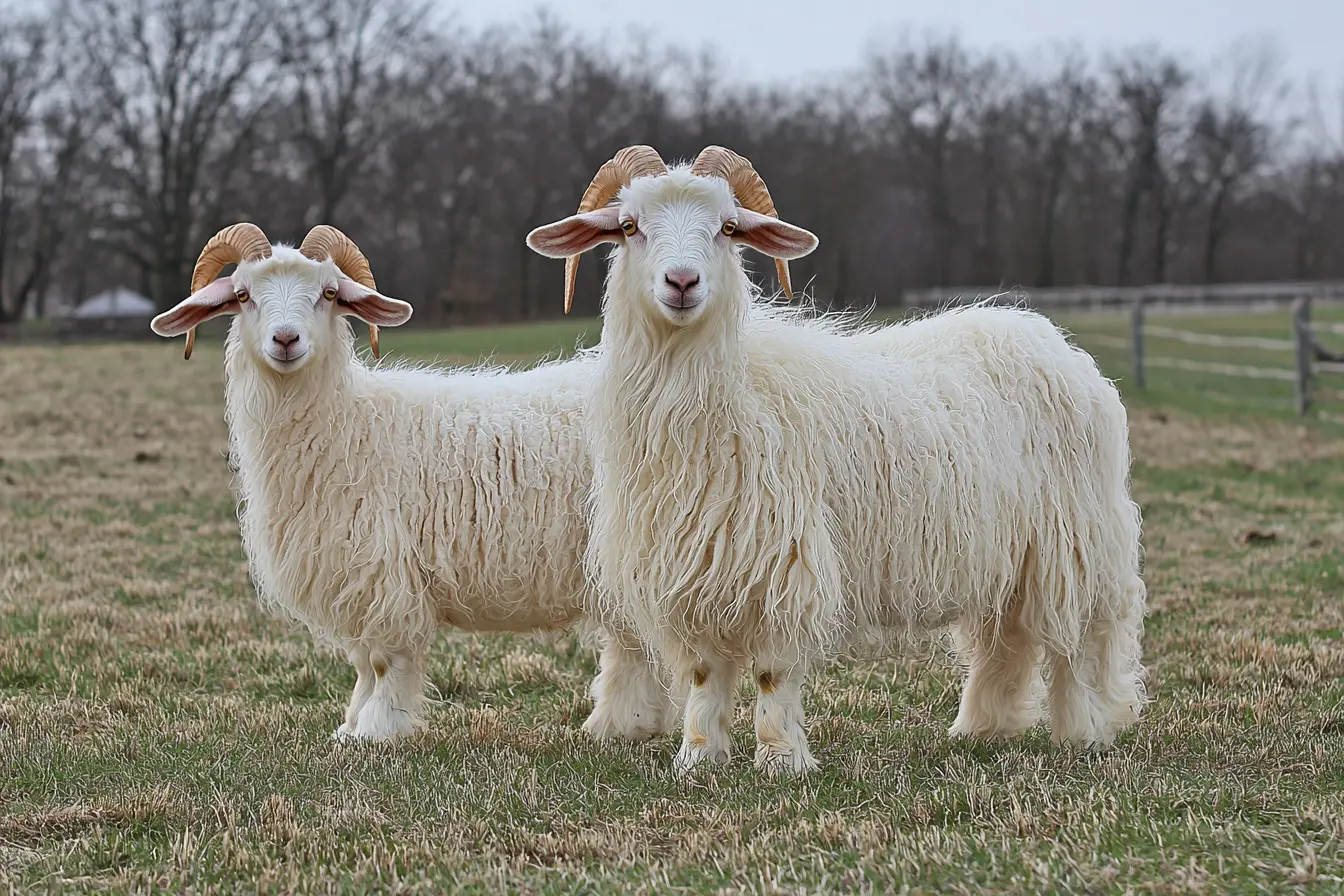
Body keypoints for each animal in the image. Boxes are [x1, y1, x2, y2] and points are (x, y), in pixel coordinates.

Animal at [151, 222, 672, 741]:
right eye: (243, 295)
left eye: (328, 293)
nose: (285, 340)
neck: (348, 421)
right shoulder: (357, 577)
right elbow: (362, 662)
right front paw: (351, 725)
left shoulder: (382, 570)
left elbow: (383, 660)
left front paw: (377, 729)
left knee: (631, 644)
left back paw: (615, 724)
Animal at [524, 147, 1145, 779]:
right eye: (629, 227)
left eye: (727, 228)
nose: (681, 283)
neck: (728, 396)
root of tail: (1050, 339)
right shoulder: (690, 564)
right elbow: (703, 673)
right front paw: (699, 758)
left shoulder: (786, 559)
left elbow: (772, 671)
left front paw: (781, 760)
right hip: (1006, 552)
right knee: (1005, 641)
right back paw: (982, 728)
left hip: (1077, 540)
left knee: (1082, 640)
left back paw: (1086, 729)